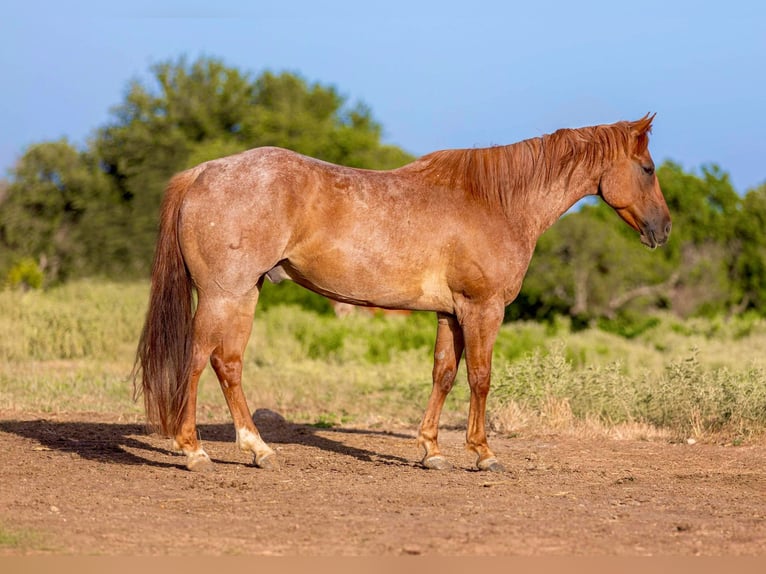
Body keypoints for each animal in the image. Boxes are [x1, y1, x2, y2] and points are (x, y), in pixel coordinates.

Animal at [136, 115, 672, 474]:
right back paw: (194, 450)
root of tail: (203, 172)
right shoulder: (483, 309)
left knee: (228, 365)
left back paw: (259, 450)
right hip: (222, 295)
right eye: (647, 168)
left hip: (244, 296)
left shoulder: (450, 314)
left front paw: (432, 451)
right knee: (198, 360)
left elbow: (443, 375)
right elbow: (480, 378)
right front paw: (483, 454)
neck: (495, 202)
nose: (663, 229)